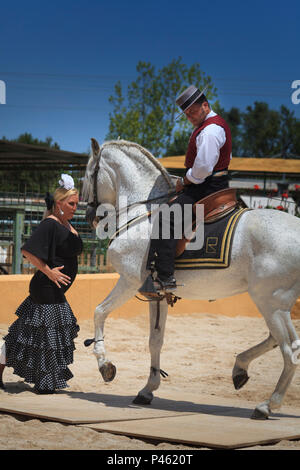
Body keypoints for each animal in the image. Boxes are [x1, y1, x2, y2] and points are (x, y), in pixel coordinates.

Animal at [81, 139, 300, 418]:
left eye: (88, 174)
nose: (90, 216)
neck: (144, 211)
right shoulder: (157, 295)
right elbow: (155, 341)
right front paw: (148, 390)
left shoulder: (128, 282)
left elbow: (99, 312)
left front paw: (105, 365)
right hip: (273, 304)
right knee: (275, 340)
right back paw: (240, 369)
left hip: (270, 302)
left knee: (289, 349)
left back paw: (267, 405)